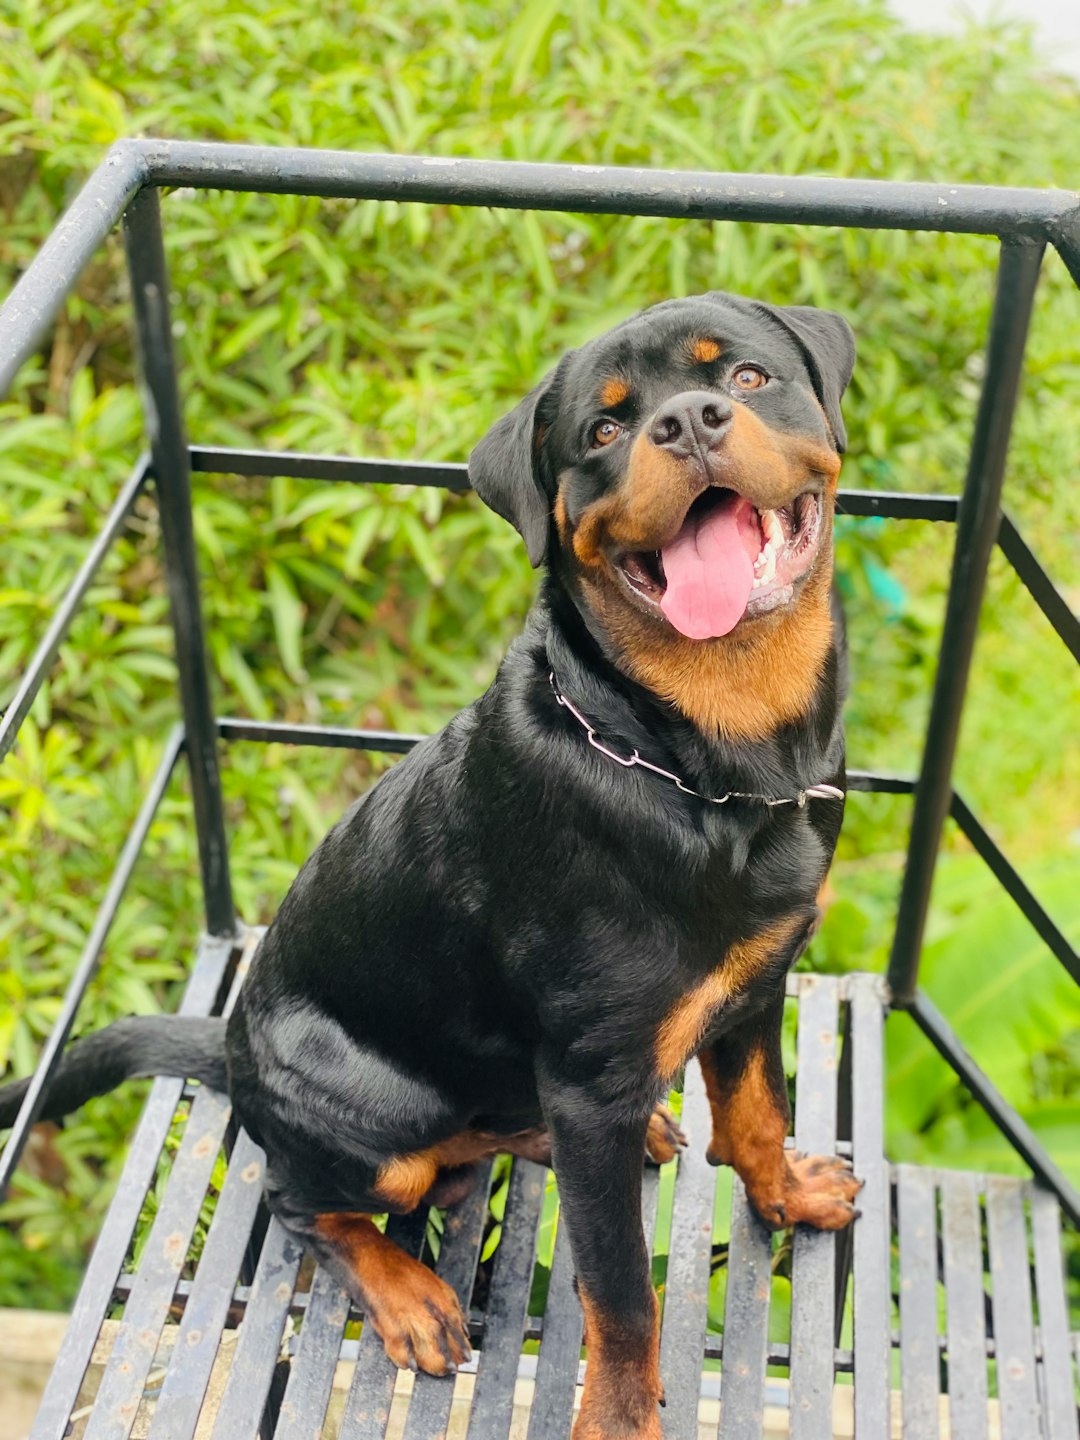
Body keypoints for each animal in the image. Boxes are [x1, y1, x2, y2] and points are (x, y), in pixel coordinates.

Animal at [0, 289, 864, 1440]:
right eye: (604, 430)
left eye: (749, 377)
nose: (685, 423)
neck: (705, 760)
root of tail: (232, 1048)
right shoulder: (592, 1077)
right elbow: (621, 1297)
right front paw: (620, 1417)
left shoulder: (755, 987)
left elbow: (759, 1114)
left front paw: (788, 1196)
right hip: (378, 1116)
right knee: (303, 1199)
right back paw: (405, 1290)